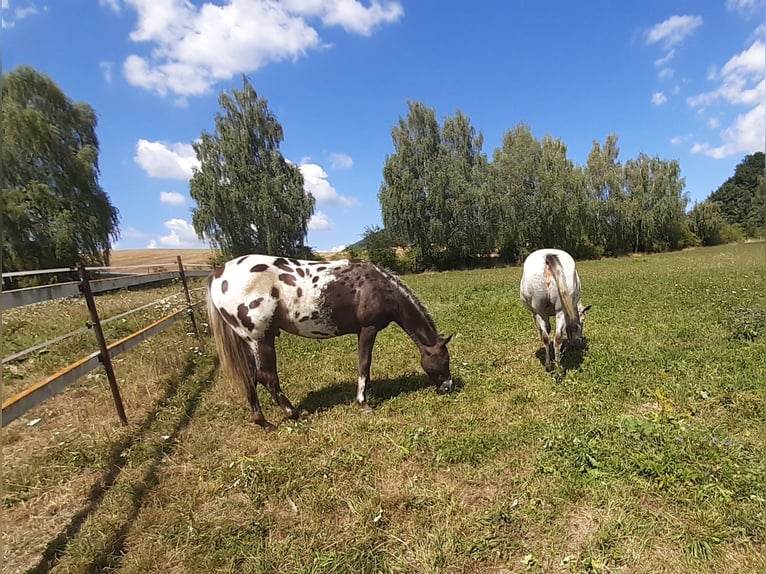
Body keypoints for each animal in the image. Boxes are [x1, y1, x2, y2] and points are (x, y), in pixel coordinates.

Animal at [206, 256, 456, 432]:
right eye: (445, 359)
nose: (448, 387)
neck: (381, 287)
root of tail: (217, 275)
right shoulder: (368, 329)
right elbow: (364, 364)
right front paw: (363, 403)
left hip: (249, 341)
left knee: (249, 378)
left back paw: (263, 422)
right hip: (261, 339)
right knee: (267, 378)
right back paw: (293, 414)